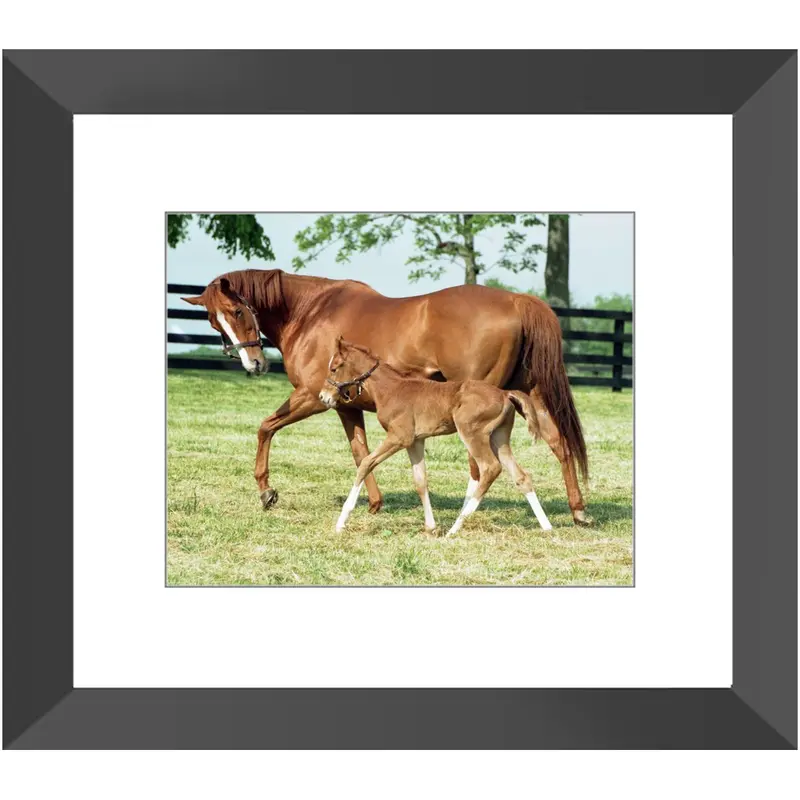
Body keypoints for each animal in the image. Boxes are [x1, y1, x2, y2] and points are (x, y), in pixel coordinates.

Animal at [320, 337, 553, 536]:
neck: (391, 389)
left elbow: (366, 463)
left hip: (471, 433)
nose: (323, 397)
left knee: (489, 468)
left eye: (334, 368)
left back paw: (456, 527)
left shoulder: (399, 437)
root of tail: (505, 394)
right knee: (521, 476)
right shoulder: (415, 441)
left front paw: (341, 522)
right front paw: (430, 527)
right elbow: (420, 480)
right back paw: (547, 527)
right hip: (499, 437)